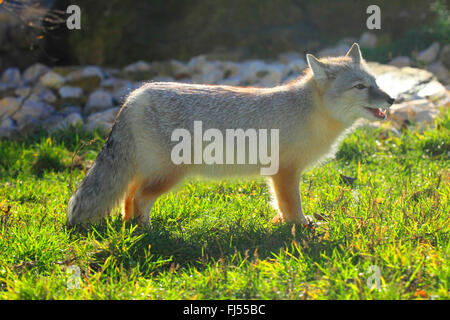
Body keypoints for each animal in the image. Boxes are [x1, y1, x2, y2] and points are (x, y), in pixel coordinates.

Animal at [66, 43, 394, 228]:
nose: (391, 99)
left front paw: (281, 222)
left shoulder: (276, 175)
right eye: (360, 87)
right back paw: (146, 232)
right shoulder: (285, 172)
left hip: (150, 171)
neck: (310, 112)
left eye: (376, 83)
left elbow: (279, 204)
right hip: (168, 174)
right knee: (138, 199)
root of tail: (134, 96)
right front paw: (300, 227)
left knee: (128, 197)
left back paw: (130, 226)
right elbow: (292, 205)